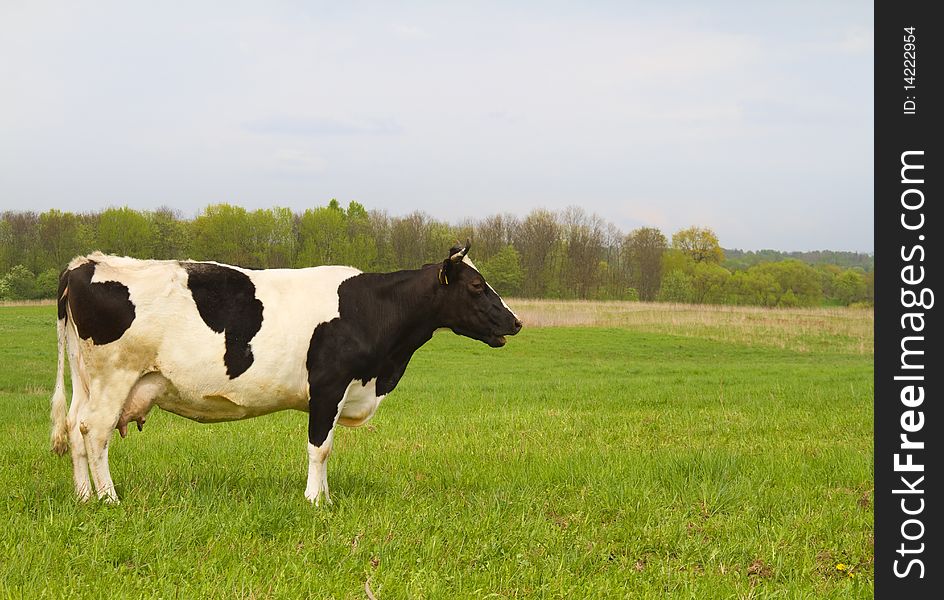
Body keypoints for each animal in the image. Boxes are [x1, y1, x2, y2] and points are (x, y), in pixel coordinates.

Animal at [49, 241, 524, 504]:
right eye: (477, 286)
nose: (516, 322)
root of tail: (86, 263)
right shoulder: (329, 386)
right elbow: (320, 447)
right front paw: (316, 501)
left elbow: (327, 447)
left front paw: (326, 496)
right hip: (114, 376)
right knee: (95, 431)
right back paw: (109, 498)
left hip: (87, 379)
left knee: (73, 427)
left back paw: (84, 496)